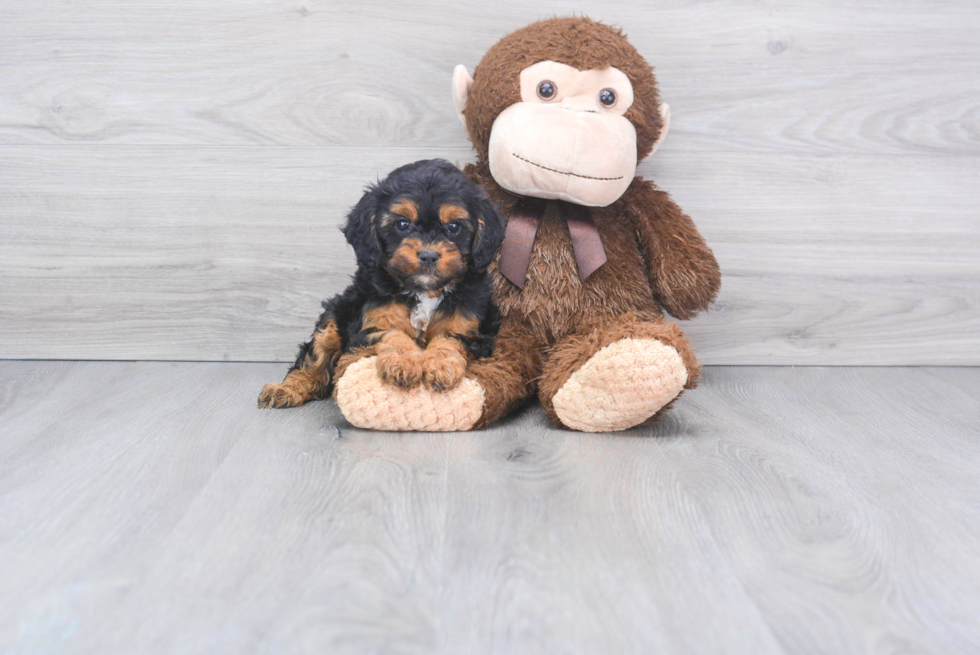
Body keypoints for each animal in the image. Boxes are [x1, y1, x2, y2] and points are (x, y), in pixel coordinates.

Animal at [258, 158, 502, 410]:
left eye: (454, 227)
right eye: (402, 224)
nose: (428, 255)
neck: (423, 291)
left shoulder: (474, 329)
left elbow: (449, 339)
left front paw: (441, 366)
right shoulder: (368, 324)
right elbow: (392, 334)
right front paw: (404, 362)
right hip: (336, 314)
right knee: (314, 357)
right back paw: (285, 389)